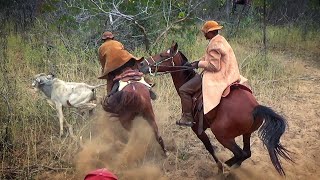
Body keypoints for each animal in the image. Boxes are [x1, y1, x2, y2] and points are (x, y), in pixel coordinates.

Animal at [138, 42, 292, 176]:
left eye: (162, 55)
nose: (141, 64)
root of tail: (255, 108)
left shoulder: (197, 129)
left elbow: (210, 148)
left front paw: (220, 168)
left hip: (223, 136)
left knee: (240, 154)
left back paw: (228, 166)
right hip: (246, 133)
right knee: (246, 153)